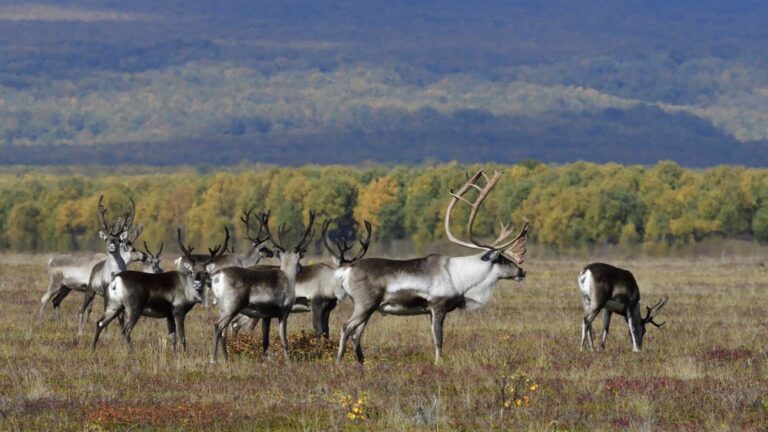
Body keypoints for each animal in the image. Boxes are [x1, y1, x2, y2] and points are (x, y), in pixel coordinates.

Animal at [92, 227, 229, 351]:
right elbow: (182, 337)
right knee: (125, 330)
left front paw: (174, 354)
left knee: (99, 323)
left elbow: (172, 338)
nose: (197, 282)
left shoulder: (168, 314)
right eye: (192, 271)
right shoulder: (178, 311)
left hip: (113, 304)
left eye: (205, 272)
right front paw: (184, 354)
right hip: (133, 307)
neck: (188, 289)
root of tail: (116, 279)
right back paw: (131, 351)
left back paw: (93, 349)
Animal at [209, 210, 315, 363]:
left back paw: (226, 358)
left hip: (223, 308)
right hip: (231, 307)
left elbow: (265, 341)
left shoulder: (266, 316)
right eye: (299, 260)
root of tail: (216, 276)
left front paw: (265, 361)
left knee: (223, 331)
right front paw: (288, 360)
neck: (288, 277)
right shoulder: (283, 312)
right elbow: (284, 339)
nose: (301, 269)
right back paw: (213, 359)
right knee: (218, 326)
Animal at [230, 218, 372, 338]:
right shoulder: (315, 304)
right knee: (245, 326)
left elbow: (326, 332)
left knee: (236, 323)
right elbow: (318, 330)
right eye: (342, 270)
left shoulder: (327, 310)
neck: (329, 281)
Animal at [334, 169, 528, 365]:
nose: (522, 271)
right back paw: (339, 361)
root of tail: (345, 270)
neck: (461, 278)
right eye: (502, 260)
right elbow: (438, 338)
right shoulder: (437, 306)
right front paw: (438, 363)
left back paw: (362, 362)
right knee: (346, 327)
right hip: (364, 303)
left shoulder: (430, 311)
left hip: (368, 307)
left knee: (356, 333)